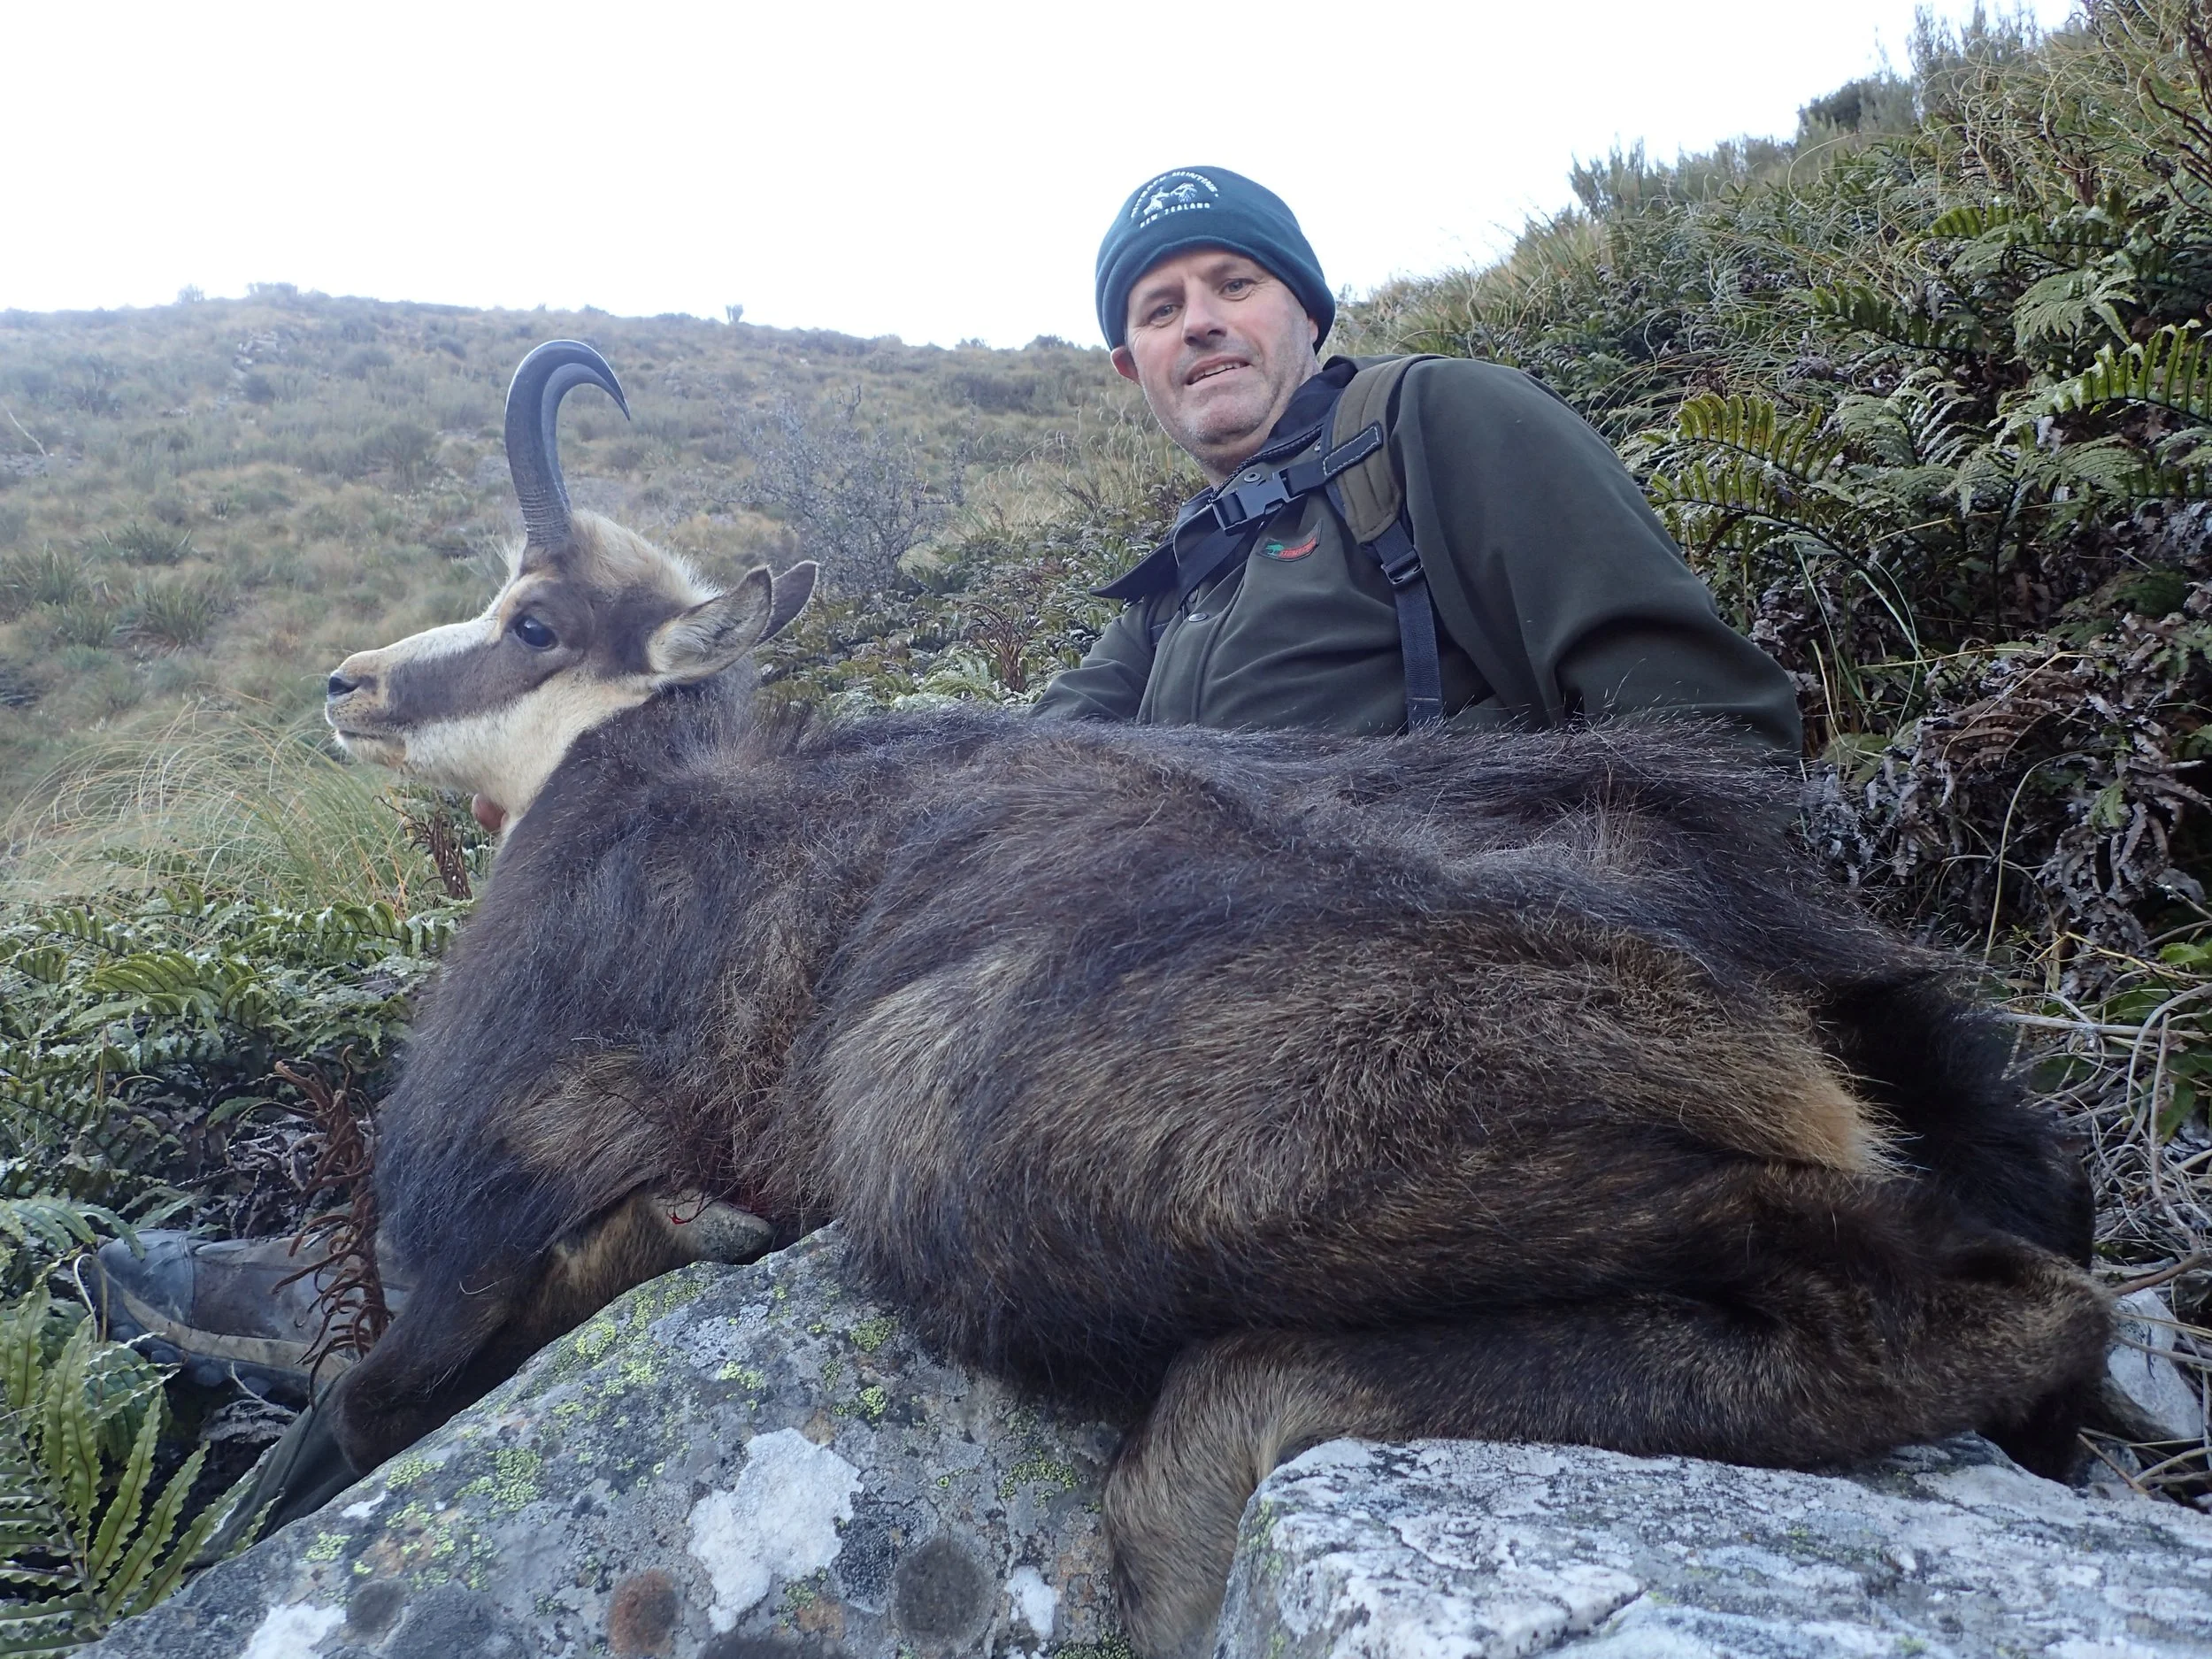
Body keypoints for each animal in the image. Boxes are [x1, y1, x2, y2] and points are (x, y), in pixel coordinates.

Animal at [324, 340, 2108, 1659]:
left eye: (530, 619)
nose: (346, 685)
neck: (623, 782)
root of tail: (1760, 935)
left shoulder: (477, 1196)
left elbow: (368, 1388)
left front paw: (682, 1227)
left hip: (986, 1121)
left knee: (1970, 1300)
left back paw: (1211, 1467)